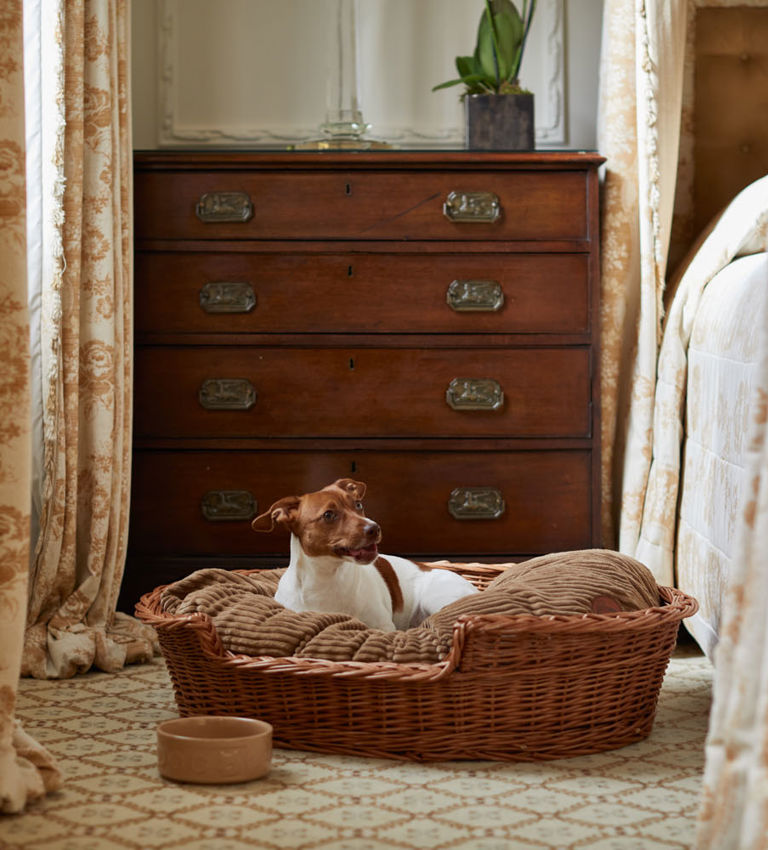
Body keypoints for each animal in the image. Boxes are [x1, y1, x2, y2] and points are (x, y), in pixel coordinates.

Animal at [251, 478, 478, 631]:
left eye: (358, 505)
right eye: (328, 515)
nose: (374, 528)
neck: (328, 578)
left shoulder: (384, 628)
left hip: (437, 598)